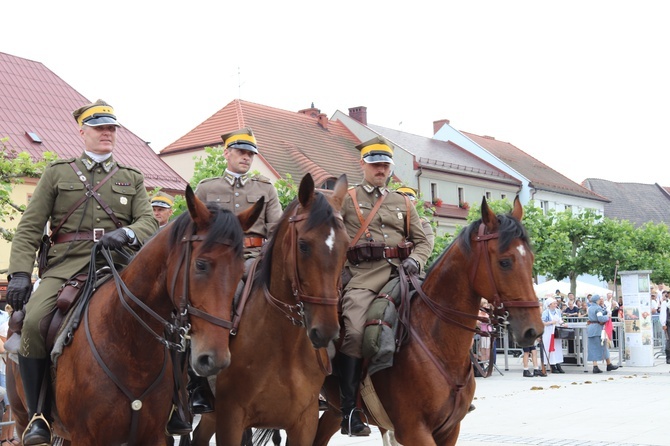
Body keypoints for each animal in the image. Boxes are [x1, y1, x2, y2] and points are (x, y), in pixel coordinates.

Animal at [9, 186, 266, 444]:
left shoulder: (154, 435)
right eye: (201, 265)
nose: (215, 358)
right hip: (21, 419)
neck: (128, 341)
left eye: (240, 271)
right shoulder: (86, 437)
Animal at [193, 173, 352, 446]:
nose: (327, 331)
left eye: (346, 247)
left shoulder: (304, 422)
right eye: (303, 245)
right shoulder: (230, 418)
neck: (283, 347)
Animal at [316, 197, 544, 446]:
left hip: (333, 409)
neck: (436, 341)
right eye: (504, 262)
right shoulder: (414, 432)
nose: (534, 330)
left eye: (532, 260)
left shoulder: (450, 430)